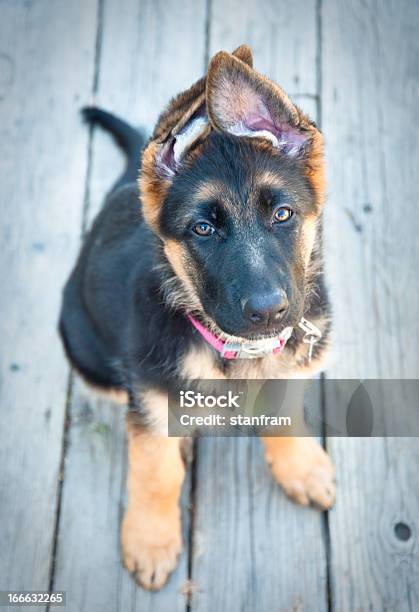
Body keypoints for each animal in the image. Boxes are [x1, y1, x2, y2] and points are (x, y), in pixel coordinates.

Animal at [59, 45, 336, 592]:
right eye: (203, 229)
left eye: (283, 214)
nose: (268, 311)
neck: (235, 350)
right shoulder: (149, 388)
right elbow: (155, 470)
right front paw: (150, 539)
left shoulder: (292, 366)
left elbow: (287, 414)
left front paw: (301, 467)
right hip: (87, 356)